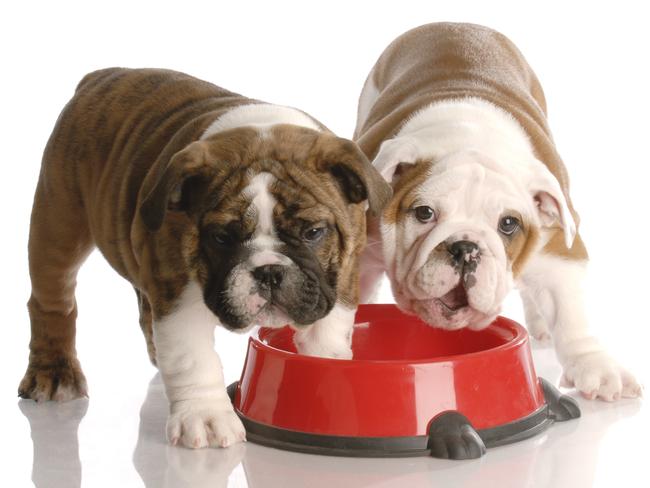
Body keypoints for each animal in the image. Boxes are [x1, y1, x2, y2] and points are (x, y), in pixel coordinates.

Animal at [19, 66, 390, 448]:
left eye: (313, 232)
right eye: (222, 237)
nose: (269, 271)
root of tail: (100, 76)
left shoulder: (341, 280)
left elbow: (326, 333)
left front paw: (325, 374)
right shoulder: (177, 295)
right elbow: (192, 357)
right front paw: (206, 417)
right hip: (58, 223)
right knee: (52, 302)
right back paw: (55, 374)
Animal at [356, 22, 640, 400]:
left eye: (508, 224)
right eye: (424, 213)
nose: (465, 248)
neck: (469, 138)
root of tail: (453, 24)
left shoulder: (559, 243)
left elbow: (569, 310)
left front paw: (597, 367)